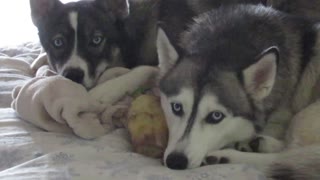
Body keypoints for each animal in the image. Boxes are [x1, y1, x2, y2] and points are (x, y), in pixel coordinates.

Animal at [158, 4, 320, 179]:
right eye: (176, 107)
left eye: (216, 116)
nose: (176, 161)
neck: (223, 45)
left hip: (303, 117)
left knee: (289, 155)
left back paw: (228, 156)